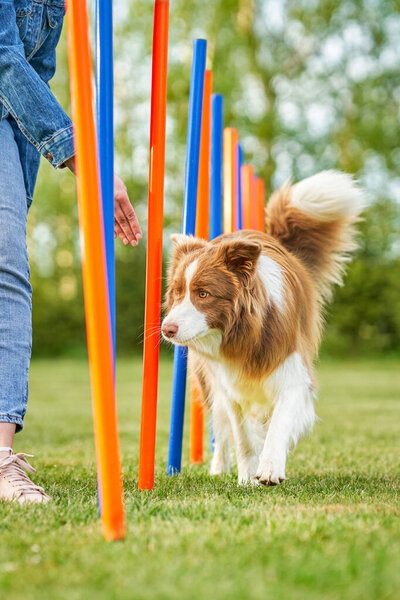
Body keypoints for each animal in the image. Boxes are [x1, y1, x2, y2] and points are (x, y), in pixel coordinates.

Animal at [162, 171, 366, 486]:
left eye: (203, 294)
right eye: (177, 292)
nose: (166, 329)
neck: (245, 335)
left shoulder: (294, 375)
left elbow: (279, 423)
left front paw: (270, 467)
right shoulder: (229, 387)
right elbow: (242, 437)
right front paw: (247, 477)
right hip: (210, 385)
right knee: (222, 430)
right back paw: (219, 468)